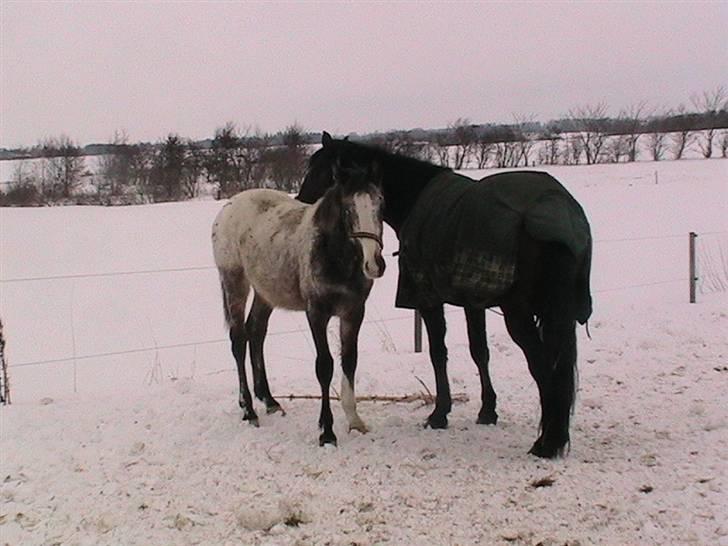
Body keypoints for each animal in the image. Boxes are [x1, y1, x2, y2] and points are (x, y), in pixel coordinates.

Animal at [298, 132, 596, 454]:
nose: (301, 205)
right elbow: (479, 351)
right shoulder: (473, 300)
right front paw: (487, 411)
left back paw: (545, 443)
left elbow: (438, 352)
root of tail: (558, 211)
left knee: (542, 367)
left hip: (519, 314)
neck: (416, 197)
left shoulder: (428, 298)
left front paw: (439, 414)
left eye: (319, 170)